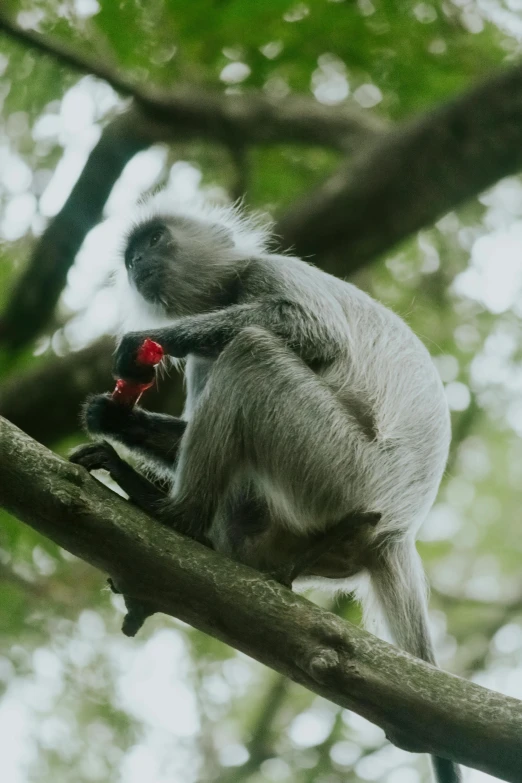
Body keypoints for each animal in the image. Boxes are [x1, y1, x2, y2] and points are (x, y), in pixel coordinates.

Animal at [70, 191, 460, 783]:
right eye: (132, 255)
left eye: (154, 241)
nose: (136, 264)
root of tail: (396, 531)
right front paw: (113, 417)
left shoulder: (268, 272)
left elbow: (309, 331)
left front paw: (139, 348)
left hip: (340, 471)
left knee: (251, 348)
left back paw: (175, 516)